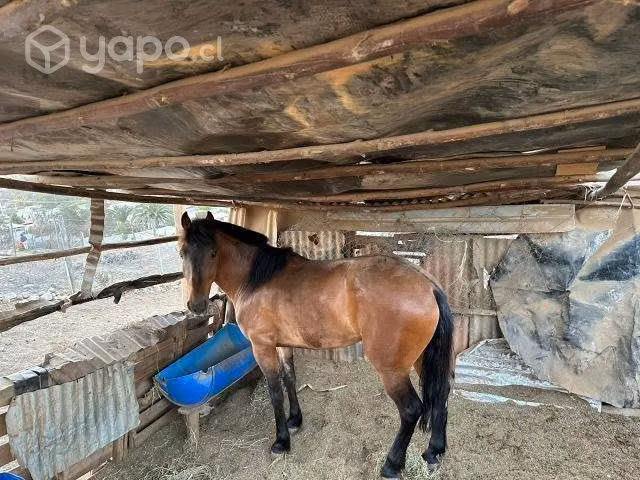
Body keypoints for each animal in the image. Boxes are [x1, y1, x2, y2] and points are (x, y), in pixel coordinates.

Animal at [179, 212, 454, 478]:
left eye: (213, 253)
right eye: (182, 252)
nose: (197, 305)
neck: (257, 279)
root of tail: (427, 285)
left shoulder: (262, 347)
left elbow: (275, 391)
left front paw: (281, 442)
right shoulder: (282, 345)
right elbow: (290, 378)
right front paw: (294, 421)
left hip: (391, 370)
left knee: (410, 410)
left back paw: (392, 465)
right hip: (421, 359)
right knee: (441, 396)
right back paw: (433, 453)